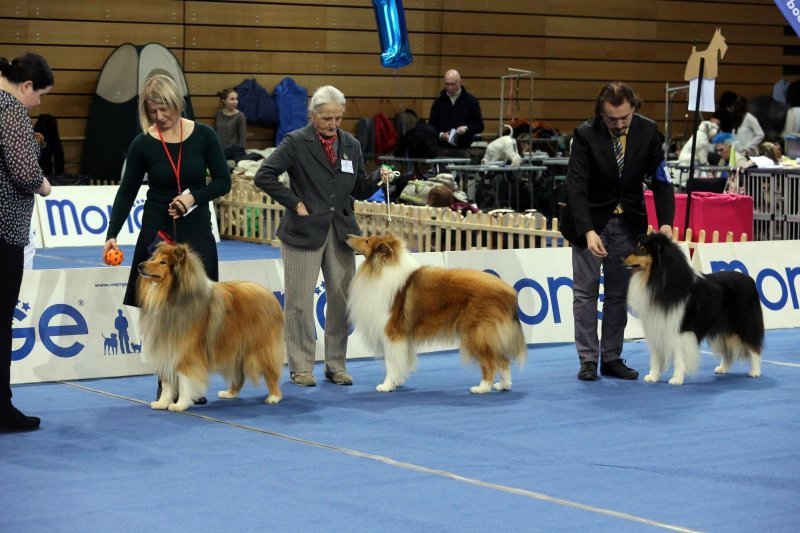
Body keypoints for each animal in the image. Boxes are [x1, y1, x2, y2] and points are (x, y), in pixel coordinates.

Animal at [138, 242, 284, 412]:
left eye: (163, 262)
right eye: (153, 258)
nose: (140, 265)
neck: (169, 297)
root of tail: (269, 294)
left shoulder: (186, 351)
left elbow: (184, 380)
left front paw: (180, 404)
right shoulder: (166, 348)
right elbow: (167, 382)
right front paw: (162, 402)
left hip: (260, 348)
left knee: (271, 373)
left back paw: (274, 397)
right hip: (236, 349)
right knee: (239, 375)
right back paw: (229, 393)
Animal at [346, 233, 528, 390]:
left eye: (368, 240)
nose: (348, 236)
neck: (381, 269)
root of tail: (510, 293)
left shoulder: (391, 334)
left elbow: (391, 363)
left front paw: (387, 385)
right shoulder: (404, 338)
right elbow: (401, 361)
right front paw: (397, 381)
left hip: (476, 333)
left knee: (490, 362)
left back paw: (482, 388)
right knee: (503, 361)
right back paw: (503, 385)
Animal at [620, 232, 764, 382]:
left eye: (643, 250)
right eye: (637, 247)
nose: (620, 259)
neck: (659, 279)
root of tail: (749, 279)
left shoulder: (679, 329)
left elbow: (678, 357)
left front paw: (676, 379)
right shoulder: (656, 325)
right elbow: (655, 356)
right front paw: (653, 376)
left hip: (744, 325)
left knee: (754, 347)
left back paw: (755, 371)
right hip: (723, 328)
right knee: (727, 350)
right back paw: (722, 368)